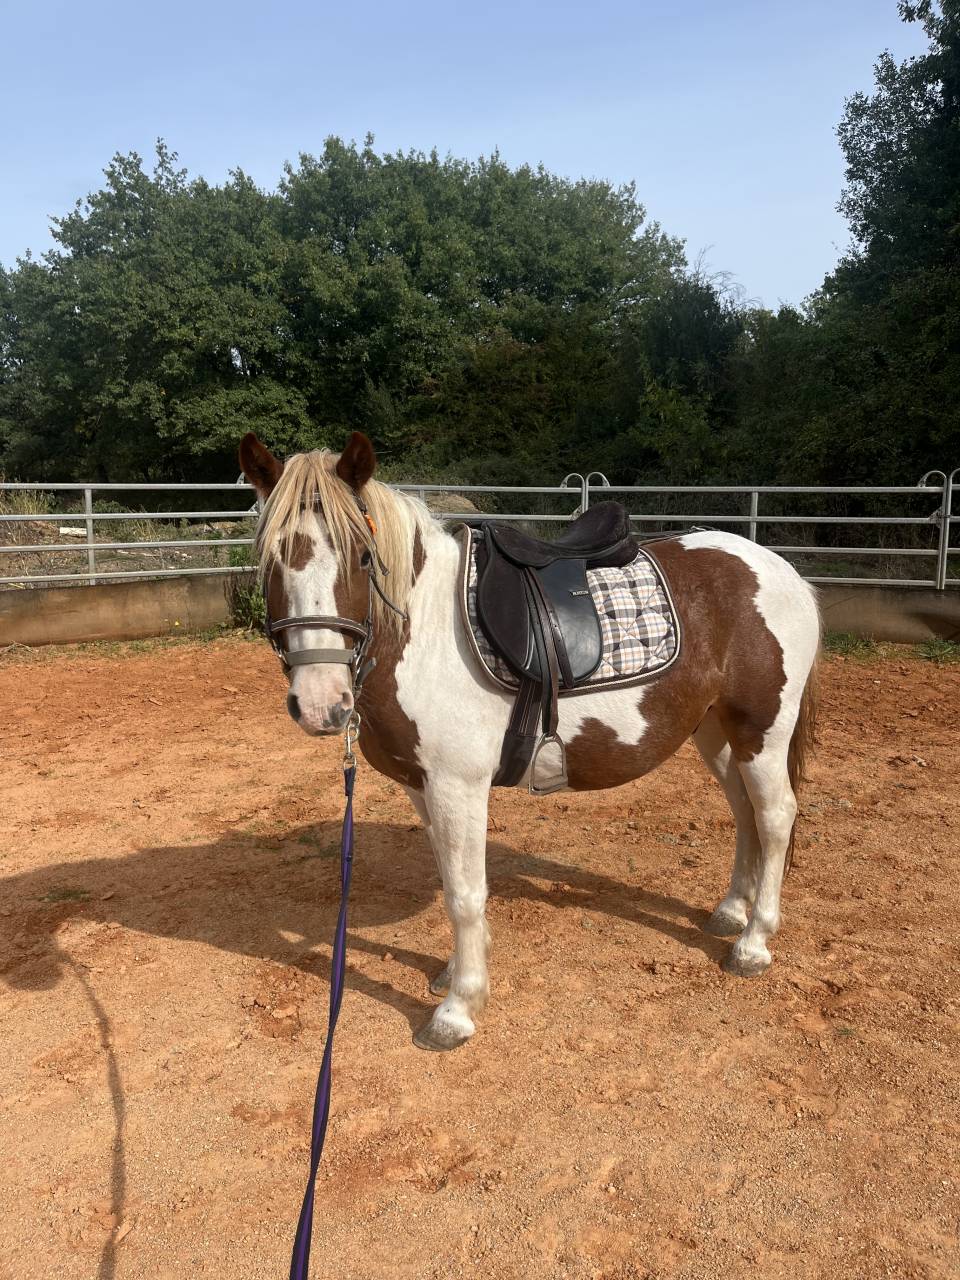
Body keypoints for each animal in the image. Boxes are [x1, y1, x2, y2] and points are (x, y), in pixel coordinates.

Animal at [238, 430, 820, 1051]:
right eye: (268, 559)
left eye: (364, 558)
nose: (321, 703)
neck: (424, 634)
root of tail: (783, 571)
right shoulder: (423, 787)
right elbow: (451, 879)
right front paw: (454, 972)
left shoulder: (458, 787)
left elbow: (465, 894)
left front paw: (458, 1008)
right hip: (715, 732)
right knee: (744, 811)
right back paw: (732, 911)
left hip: (762, 731)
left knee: (776, 816)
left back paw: (754, 943)